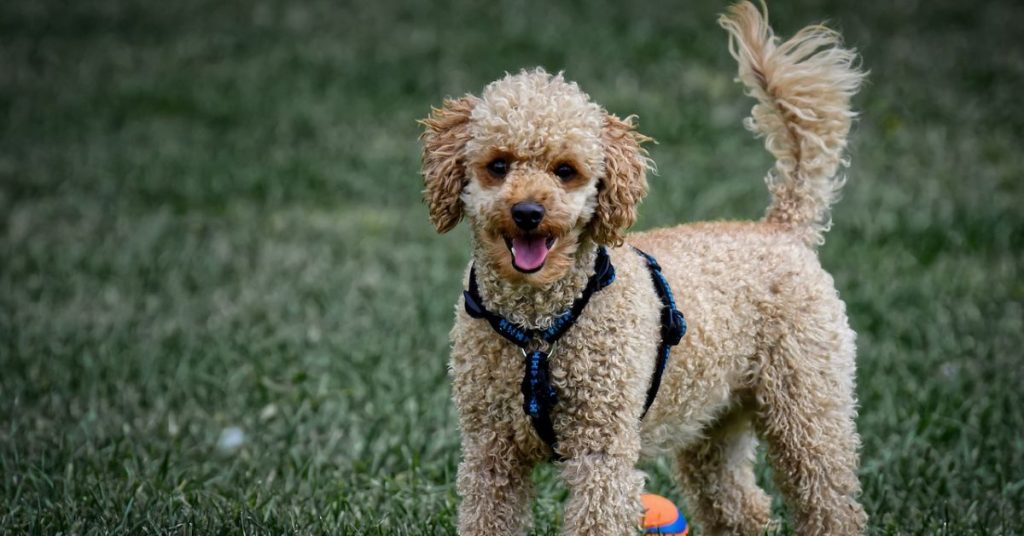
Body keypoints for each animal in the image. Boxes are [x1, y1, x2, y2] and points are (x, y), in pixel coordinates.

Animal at [419, 2, 868, 532]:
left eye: (565, 171)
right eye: (499, 165)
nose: (528, 212)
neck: (537, 328)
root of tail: (782, 228)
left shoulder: (602, 450)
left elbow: (597, 516)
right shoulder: (491, 453)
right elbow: (488, 515)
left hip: (807, 406)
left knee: (830, 499)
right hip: (713, 420)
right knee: (743, 505)